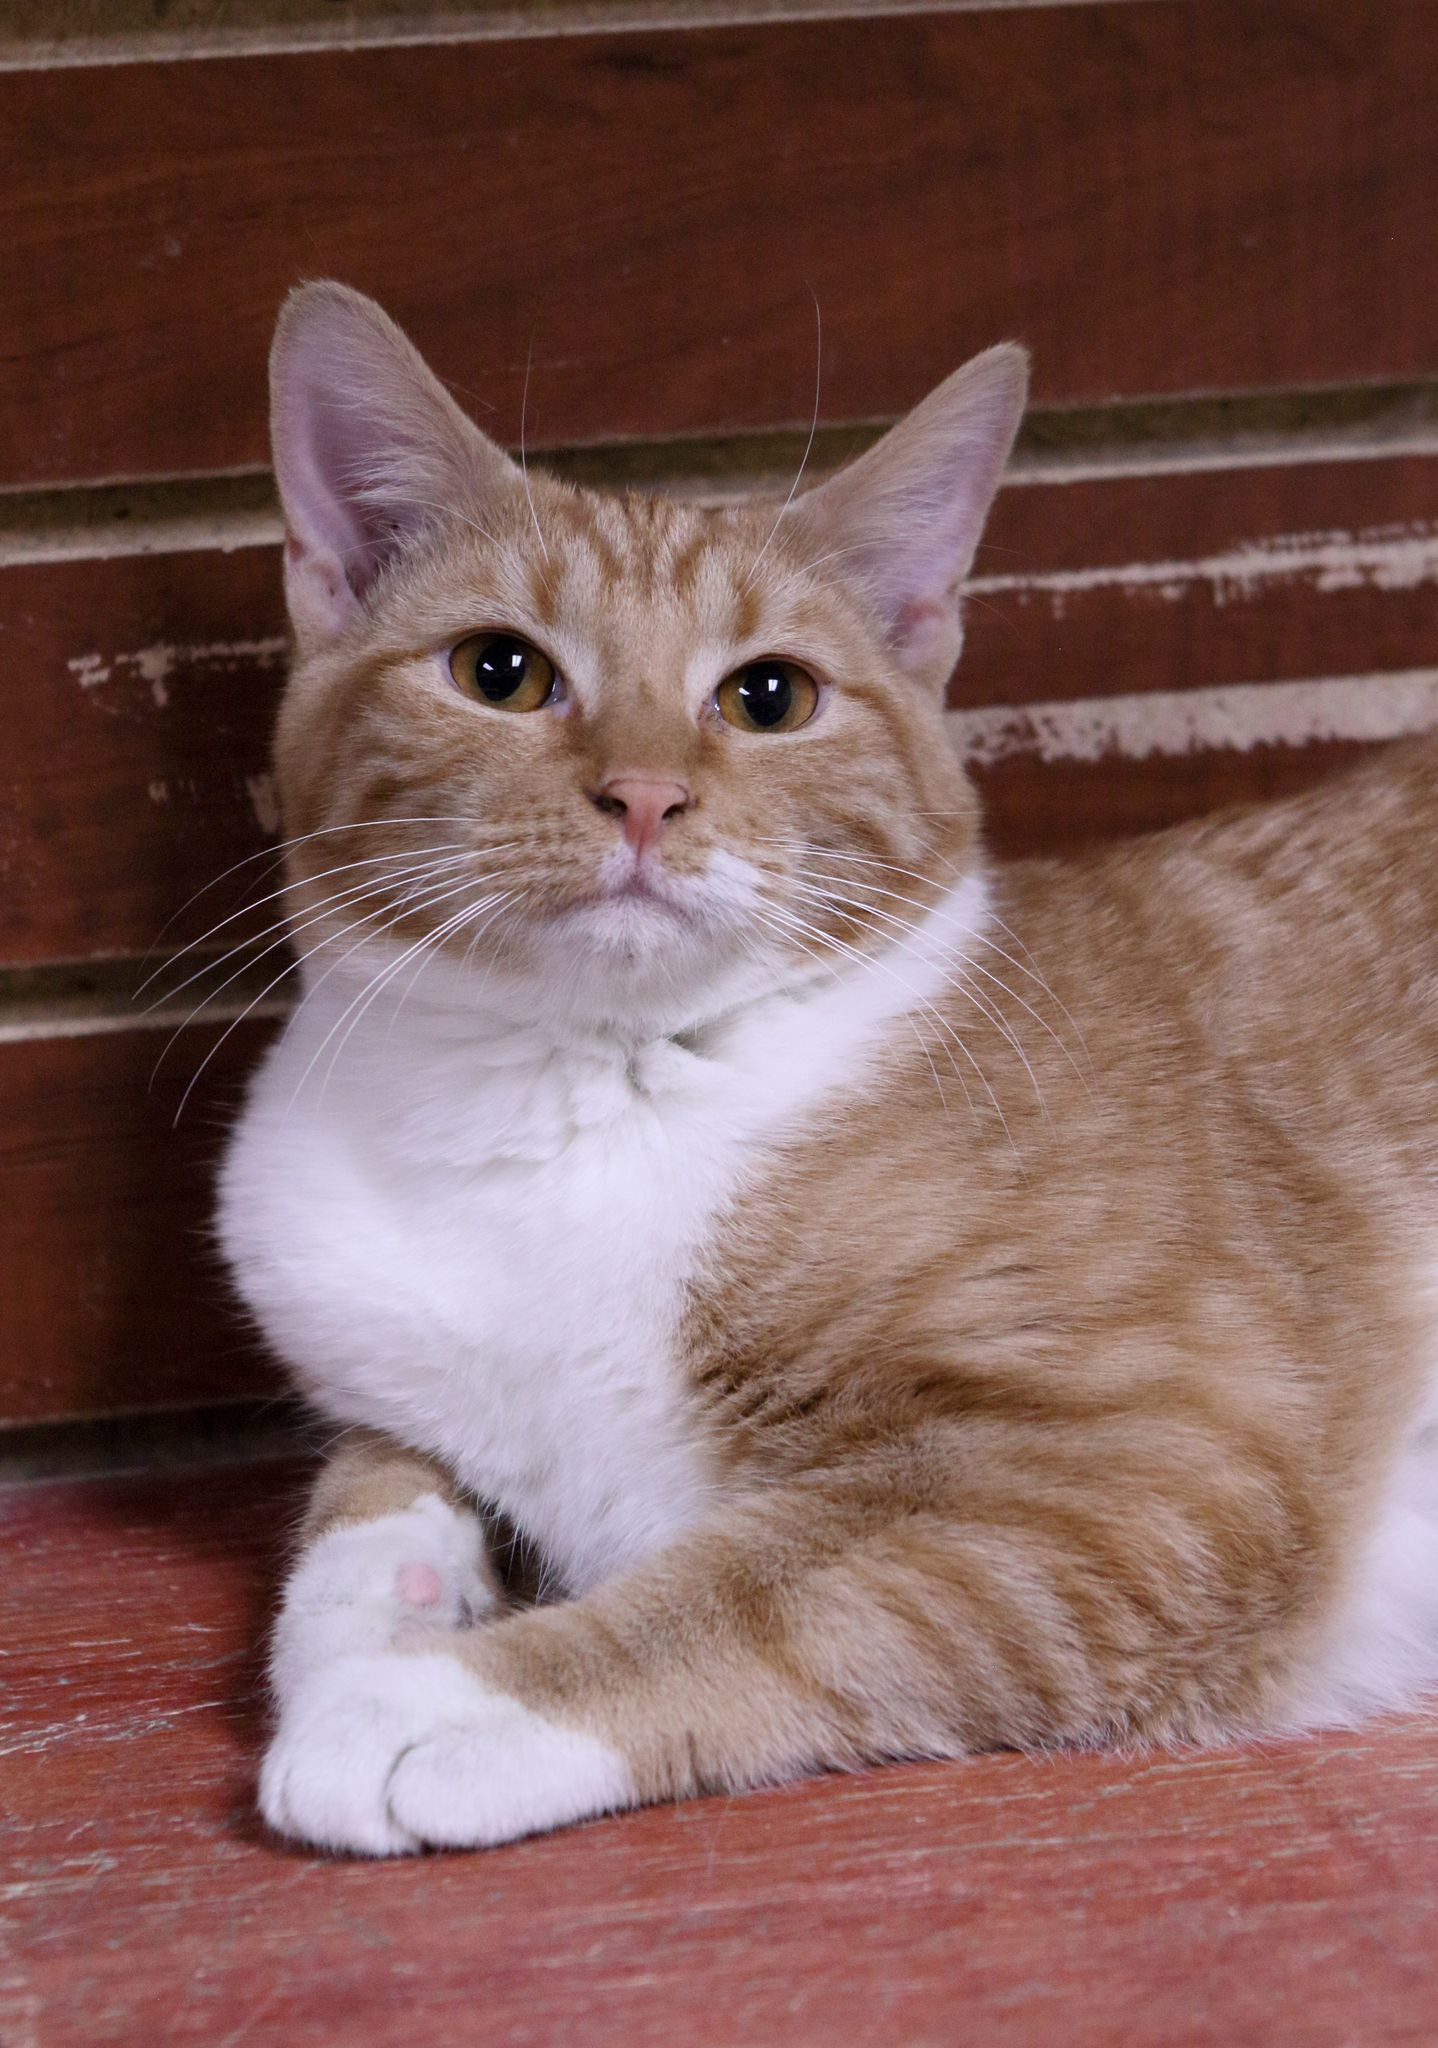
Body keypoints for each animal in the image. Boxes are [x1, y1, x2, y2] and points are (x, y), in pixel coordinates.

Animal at [217, 284, 1438, 1859]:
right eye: (500, 671)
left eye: (768, 696)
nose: (644, 795)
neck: (587, 1093)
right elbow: (365, 1492)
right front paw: (379, 1618)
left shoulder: (1155, 1458)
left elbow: (758, 1588)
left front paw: (430, 1700)